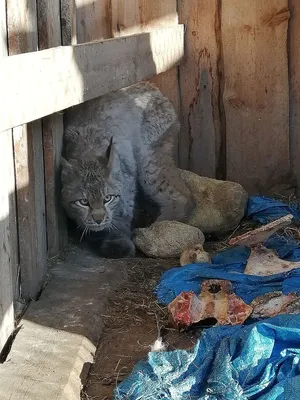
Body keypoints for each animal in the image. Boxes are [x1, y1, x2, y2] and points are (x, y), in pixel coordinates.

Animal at [61, 82, 195, 258]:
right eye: (83, 202)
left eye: (107, 198)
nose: (98, 219)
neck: (88, 153)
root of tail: (152, 85)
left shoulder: (126, 177)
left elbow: (123, 209)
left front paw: (117, 239)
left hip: (148, 160)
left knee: (183, 196)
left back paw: (156, 231)